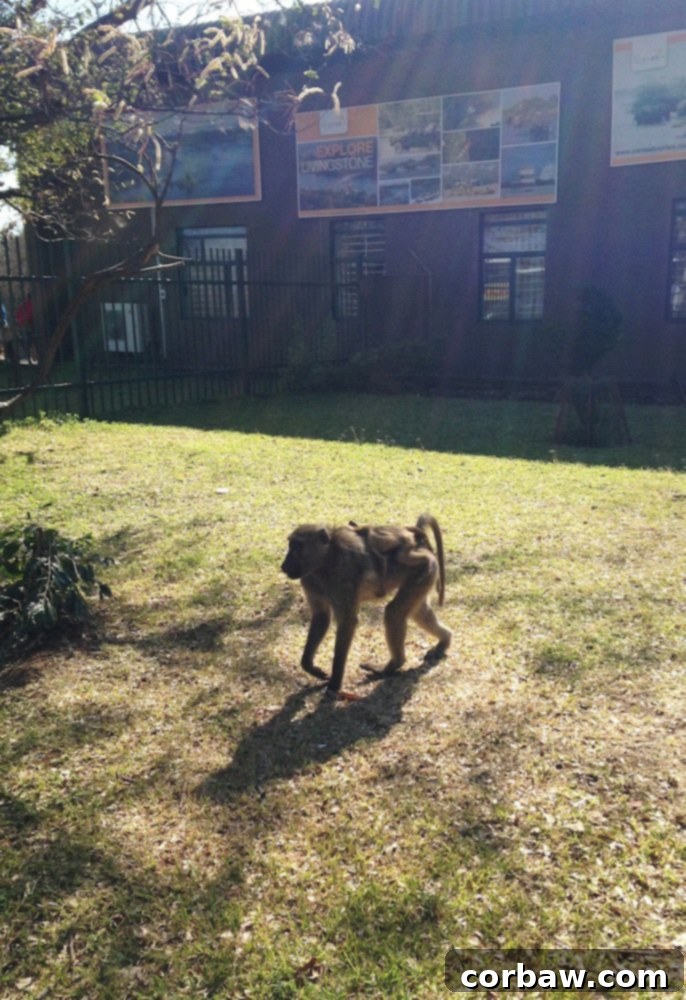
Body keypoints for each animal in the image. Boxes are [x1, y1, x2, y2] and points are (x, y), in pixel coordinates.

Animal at [281, 514, 452, 698]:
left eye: (297, 547)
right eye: (291, 545)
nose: (283, 566)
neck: (324, 561)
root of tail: (420, 545)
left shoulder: (342, 574)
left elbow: (348, 621)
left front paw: (334, 684)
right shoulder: (309, 579)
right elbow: (321, 617)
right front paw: (311, 667)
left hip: (424, 568)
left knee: (394, 612)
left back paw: (392, 665)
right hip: (424, 574)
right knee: (418, 612)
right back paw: (445, 640)